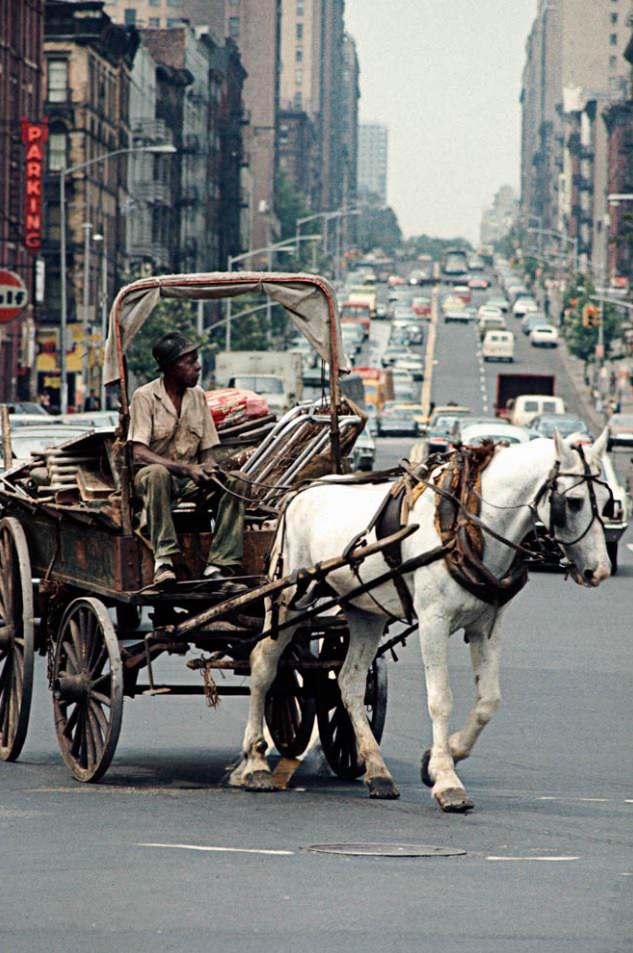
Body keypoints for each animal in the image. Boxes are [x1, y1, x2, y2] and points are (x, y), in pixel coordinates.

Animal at [230, 432, 608, 812]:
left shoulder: (487, 625)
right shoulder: (433, 621)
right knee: (264, 666)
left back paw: (377, 771)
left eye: (607, 504)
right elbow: (440, 699)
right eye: (574, 502)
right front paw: (447, 780)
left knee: (349, 681)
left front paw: (444, 756)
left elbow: (489, 701)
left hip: (365, 610)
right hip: (288, 597)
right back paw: (254, 763)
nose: (600, 570)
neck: (464, 525)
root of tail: (298, 492)